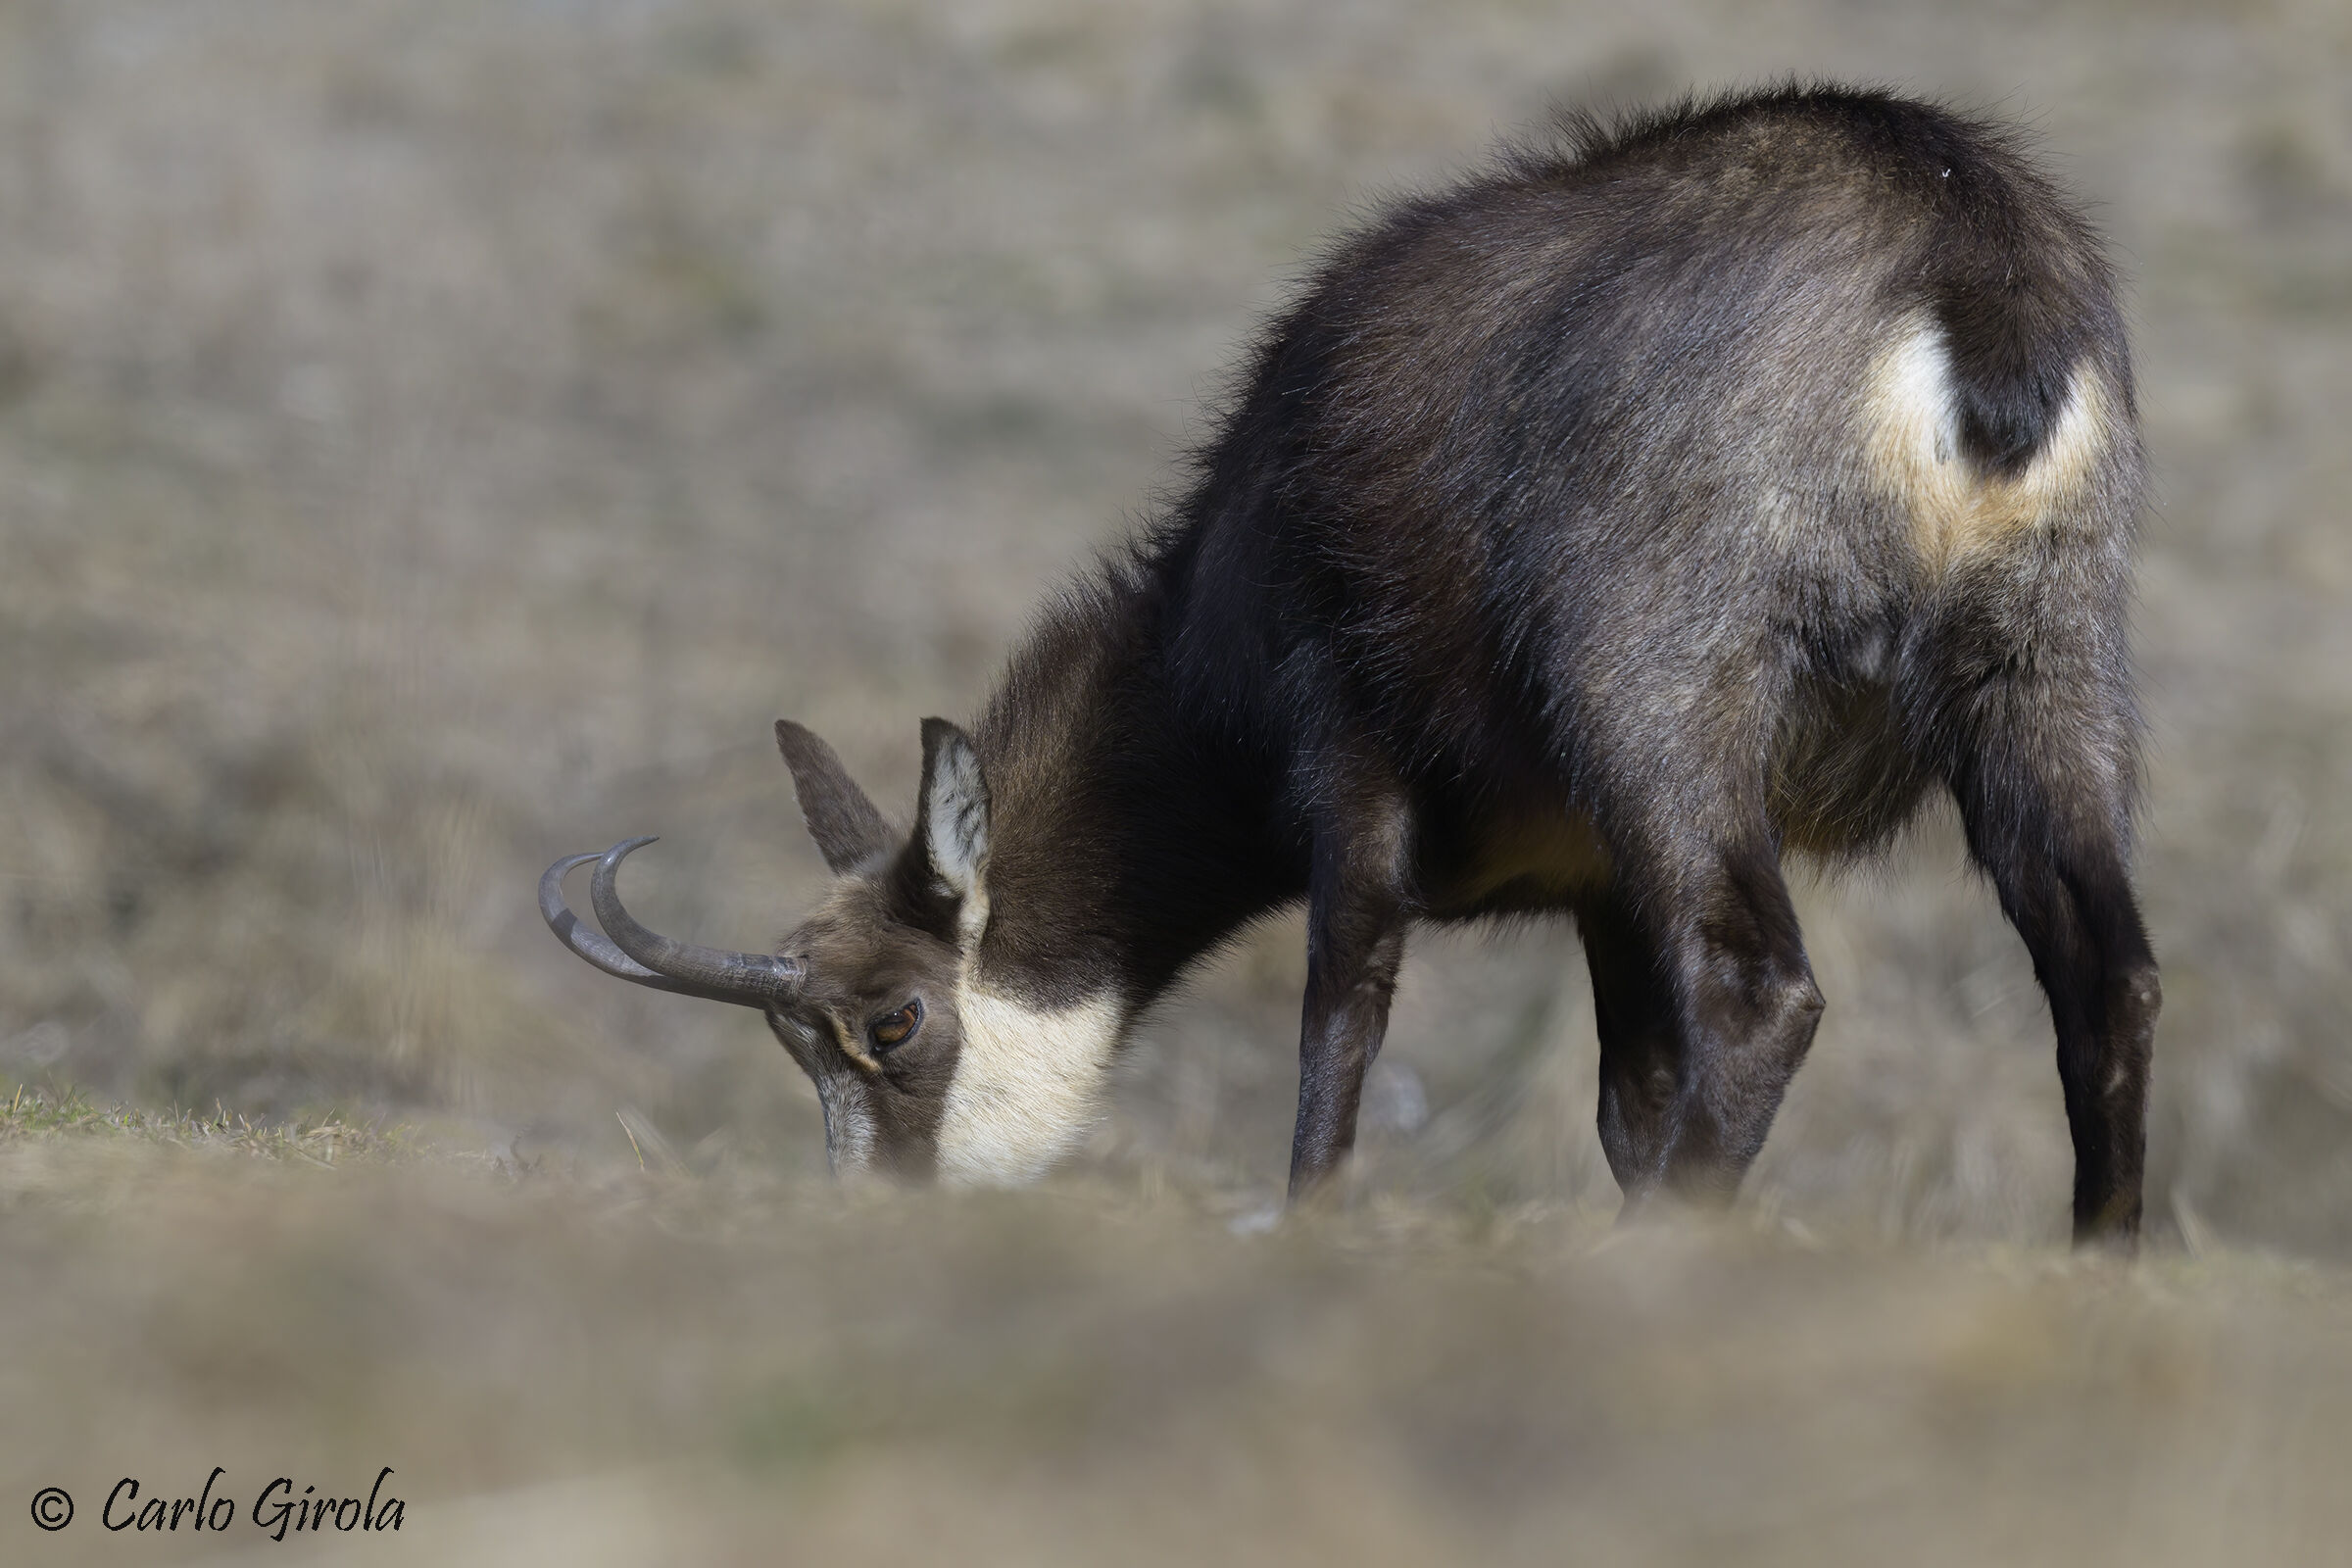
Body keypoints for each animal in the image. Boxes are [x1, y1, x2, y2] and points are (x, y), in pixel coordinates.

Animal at [543, 85, 2160, 1244]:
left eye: (892, 1019)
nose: (874, 1225)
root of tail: (1963, 263)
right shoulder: (1593, 887)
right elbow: (1627, 1097)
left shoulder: (1350, 755)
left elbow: (1345, 1002)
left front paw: (1308, 1220)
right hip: (2050, 671)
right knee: (2109, 974)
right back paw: (2100, 1258)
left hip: (1662, 693)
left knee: (1762, 986)